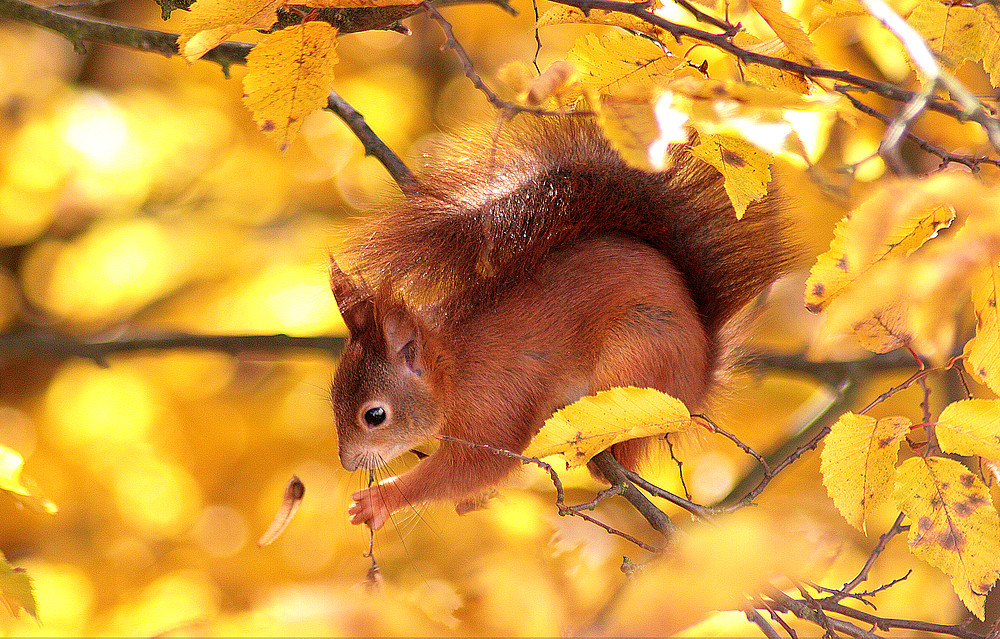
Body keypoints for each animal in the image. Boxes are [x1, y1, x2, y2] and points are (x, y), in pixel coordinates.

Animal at [332, 116, 792, 528]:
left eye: (375, 416)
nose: (348, 463)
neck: (451, 366)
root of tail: (702, 371)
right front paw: (471, 502)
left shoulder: (495, 403)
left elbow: (473, 466)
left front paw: (380, 499)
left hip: (639, 357)